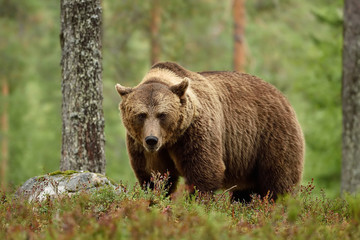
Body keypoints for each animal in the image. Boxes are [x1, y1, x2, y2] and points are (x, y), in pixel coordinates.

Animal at [115, 61, 304, 201]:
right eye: (141, 115)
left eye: (162, 114)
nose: (152, 140)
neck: (172, 138)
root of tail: (281, 95)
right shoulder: (141, 144)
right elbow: (154, 177)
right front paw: (156, 199)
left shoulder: (195, 131)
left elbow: (204, 171)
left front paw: (196, 203)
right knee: (245, 193)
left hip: (271, 136)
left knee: (278, 181)